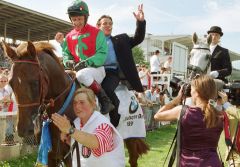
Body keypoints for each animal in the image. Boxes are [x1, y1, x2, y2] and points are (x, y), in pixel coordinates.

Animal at [2, 41, 148, 167]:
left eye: (34, 82)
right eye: (10, 83)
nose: (23, 129)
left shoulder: (71, 156)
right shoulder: (51, 155)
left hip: (132, 137)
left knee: (133, 160)